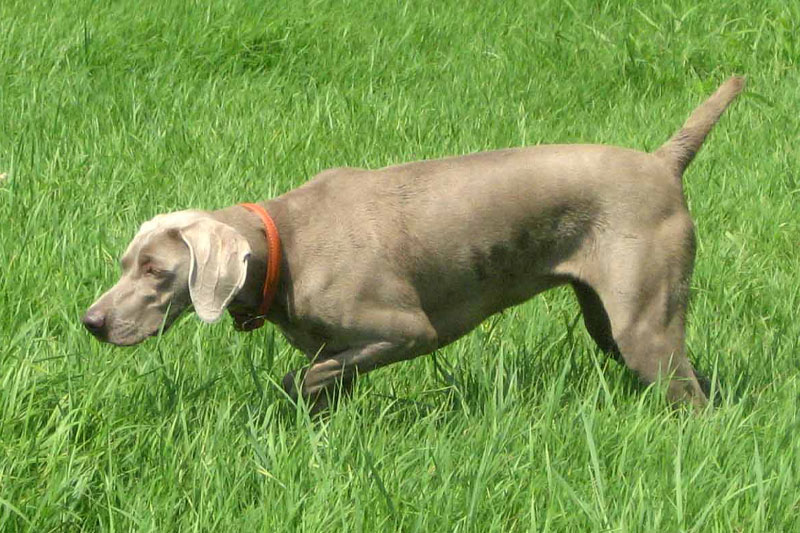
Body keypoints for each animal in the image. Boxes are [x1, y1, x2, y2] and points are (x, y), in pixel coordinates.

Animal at [81, 76, 744, 408]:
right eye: (126, 262)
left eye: (155, 270)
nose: (91, 322)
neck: (284, 242)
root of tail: (662, 162)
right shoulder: (337, 345)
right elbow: (324, 377)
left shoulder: (409, 331)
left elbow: (306, 377)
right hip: (609, 320)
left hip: (641, 319)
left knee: (688, 391)